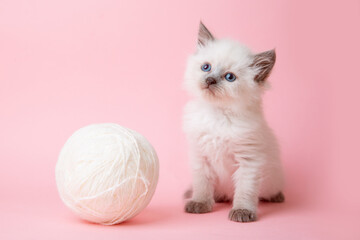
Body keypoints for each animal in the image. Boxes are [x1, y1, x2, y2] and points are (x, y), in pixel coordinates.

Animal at [184, 21, 286, 222]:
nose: (209, 80)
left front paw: (242, 211)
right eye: (206, 67)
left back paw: (277, 197)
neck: (218, 115)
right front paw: (200, 203)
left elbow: (245, 190)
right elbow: (202, 184)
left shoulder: (249, 160)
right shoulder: (201, 156)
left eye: (229, 77)